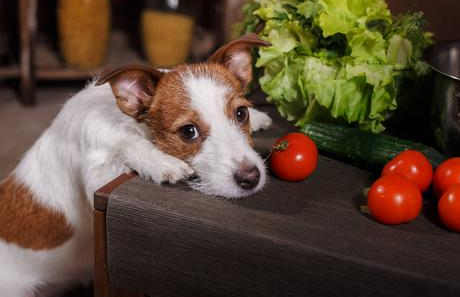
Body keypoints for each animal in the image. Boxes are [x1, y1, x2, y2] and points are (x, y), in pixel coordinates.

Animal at [0, 33, 274, 294]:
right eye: (189, 132)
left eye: (241, 113)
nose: (251, 177)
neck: (126, 121)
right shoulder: (95, 177)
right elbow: (126, 143)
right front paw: (161, 162)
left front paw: (259, 117)